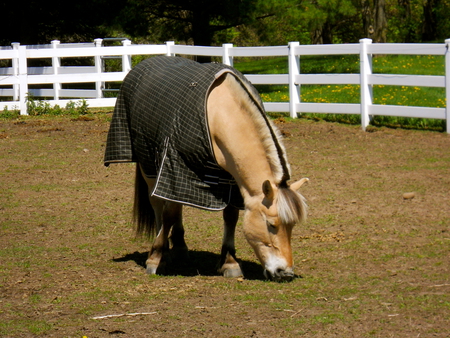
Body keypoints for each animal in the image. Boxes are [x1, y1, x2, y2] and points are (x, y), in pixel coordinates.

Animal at [104, 56, 310, 282]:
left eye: (292, 225)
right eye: (271, 224)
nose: (285, 272)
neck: (219, 113)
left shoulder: (230, 180)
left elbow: (230, 216)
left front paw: (229, 262)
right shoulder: (173, 167)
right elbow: (168, 213)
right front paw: (156, 258)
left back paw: (180, 248)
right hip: (148, 165)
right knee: (157, 204)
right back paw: (162, 250)